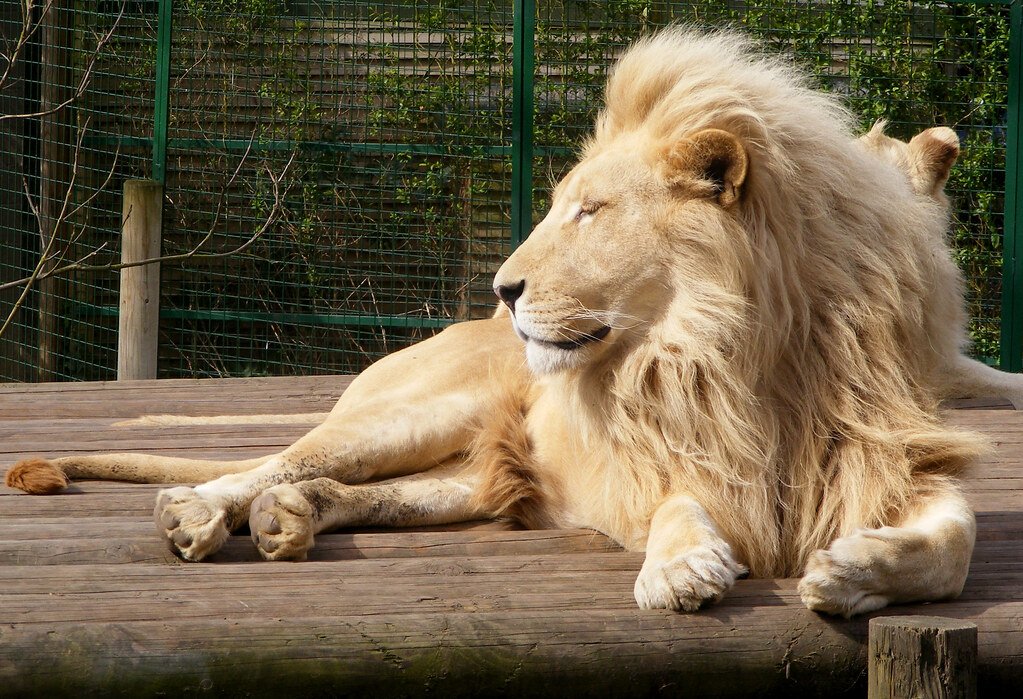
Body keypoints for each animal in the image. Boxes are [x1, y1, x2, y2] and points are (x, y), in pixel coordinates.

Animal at [6, 29, 990, 617]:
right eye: (562, 205)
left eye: (590, 211)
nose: (502, 288)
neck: (733, 352)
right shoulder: (651, 466)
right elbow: (680, 498)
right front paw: (680, 567)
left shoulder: (894, 456)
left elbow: (955, 538)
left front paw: (853, 571)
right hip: (410, 414)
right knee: (263, 464)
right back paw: (196, 515)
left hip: (471, 473)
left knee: (346, 490)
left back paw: (291, 521)